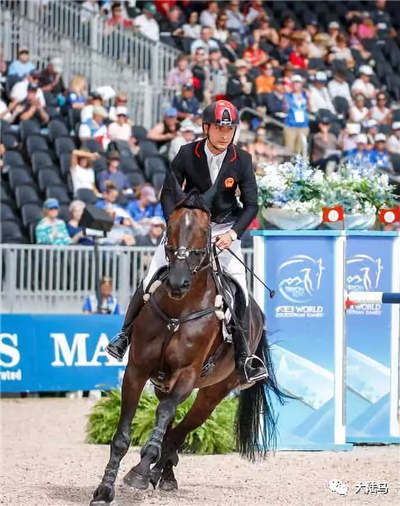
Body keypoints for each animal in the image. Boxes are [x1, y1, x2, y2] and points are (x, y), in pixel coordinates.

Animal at [90, 193, 285, 505]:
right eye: (170, 227)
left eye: (205, 232)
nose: (178, 282)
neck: (178, 309)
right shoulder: (137, 371)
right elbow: (122, 436)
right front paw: (105, 490)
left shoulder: (186, 375)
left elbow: (165, 421)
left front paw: (139, 473)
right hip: (163, 383)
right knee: (169, 425)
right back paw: (161, 473)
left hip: (213, 392)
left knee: (180, 431)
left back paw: (158, 472)